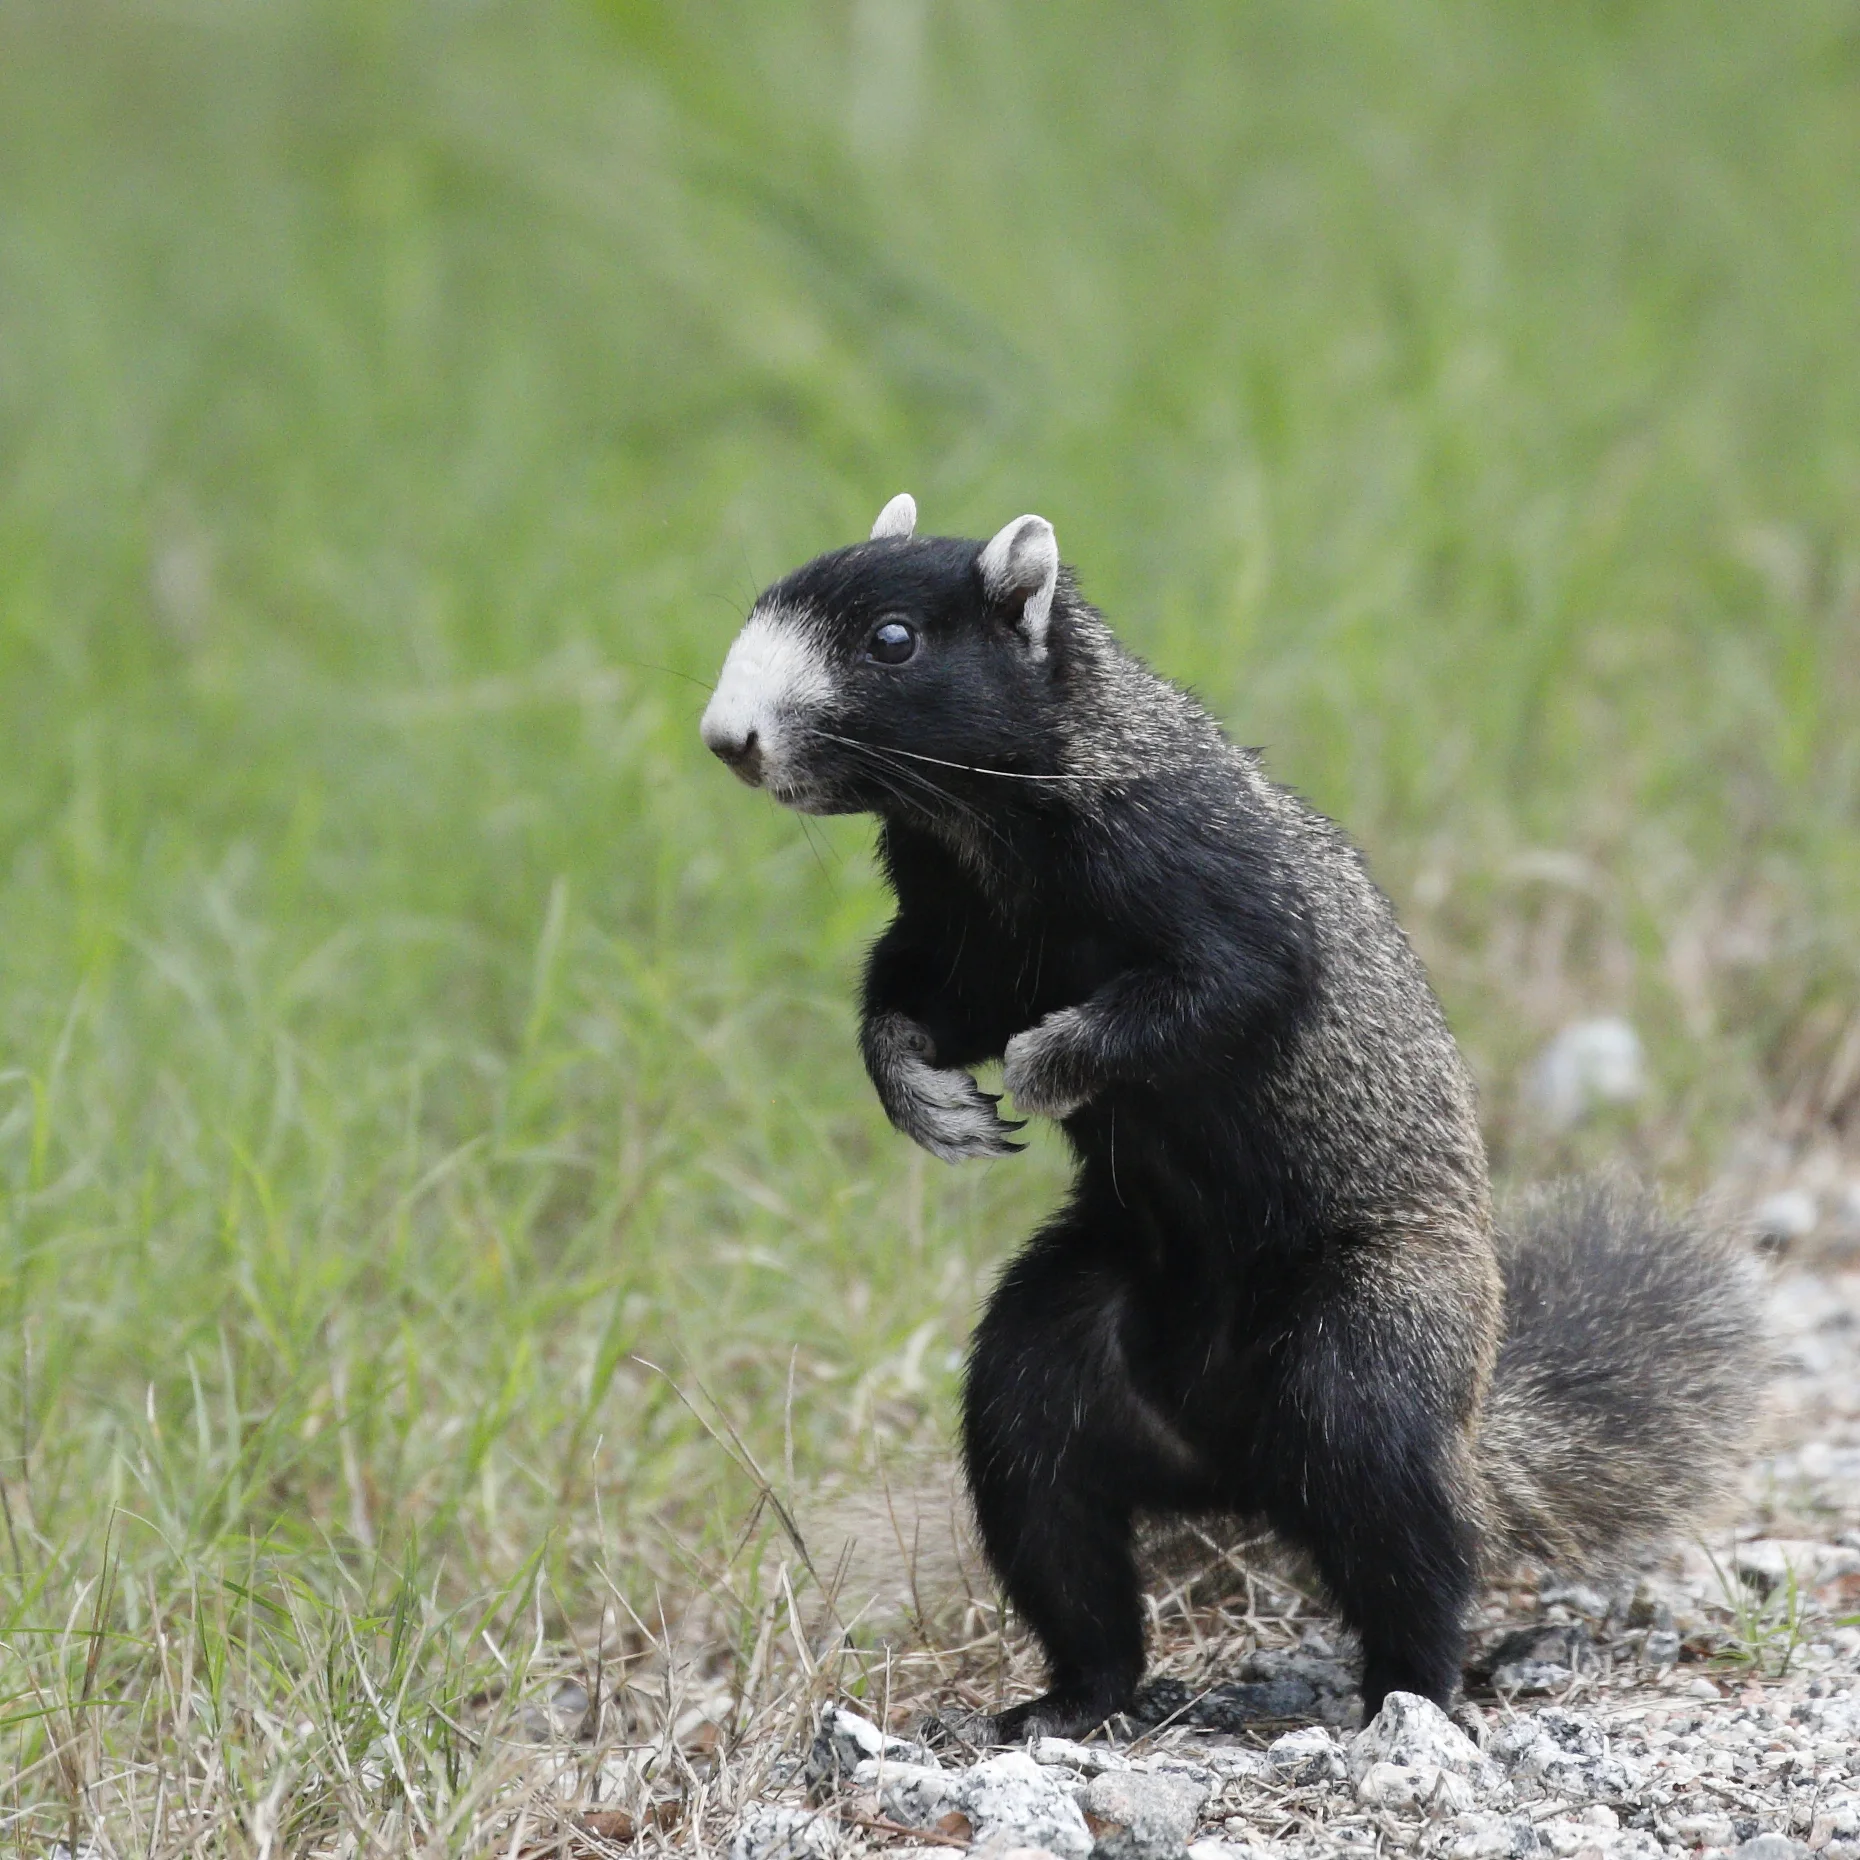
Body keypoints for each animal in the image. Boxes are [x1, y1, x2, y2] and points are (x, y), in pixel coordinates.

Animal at [699, 494, 1764, 1740]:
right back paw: (1068, 1702)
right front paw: (930, 1101)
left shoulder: (1212, 881)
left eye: (893, 640)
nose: (728, 737)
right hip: (1047, 1367)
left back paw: (1409, 1697)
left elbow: (1218, 990)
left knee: (1417, 1545)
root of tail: (1235, 1468)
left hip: (1367, 1348)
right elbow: (906, 1002)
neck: (985, 835)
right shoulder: (954, 931)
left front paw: (1050, 1064)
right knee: (1061, 1529)